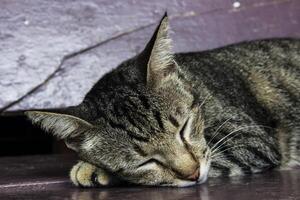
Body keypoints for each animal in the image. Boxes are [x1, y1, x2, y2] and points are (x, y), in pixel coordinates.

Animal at [26, 14, 300, 188]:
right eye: (146, 161)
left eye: (184, 128)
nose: (193, 173)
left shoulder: (251, 139)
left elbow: (219, 155)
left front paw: (93, 169)